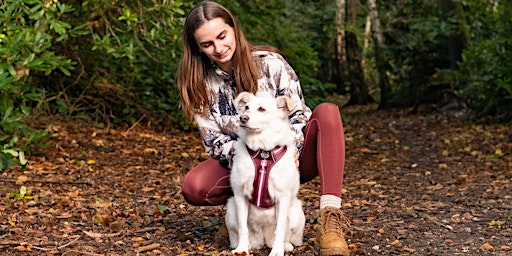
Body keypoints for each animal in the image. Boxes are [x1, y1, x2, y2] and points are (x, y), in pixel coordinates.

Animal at [227, 92, 306, 256]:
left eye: (261, 109)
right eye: (246, 107)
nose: (243, 118)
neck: (263, 152)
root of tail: (263, 239)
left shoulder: (283, 197)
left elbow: (280, 229)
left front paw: (277, 251)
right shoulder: (239, 195)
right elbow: (242, 227)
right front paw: (242, 248)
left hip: (297, 211)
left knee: (286, 235)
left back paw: (285, 245)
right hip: (230, 208)